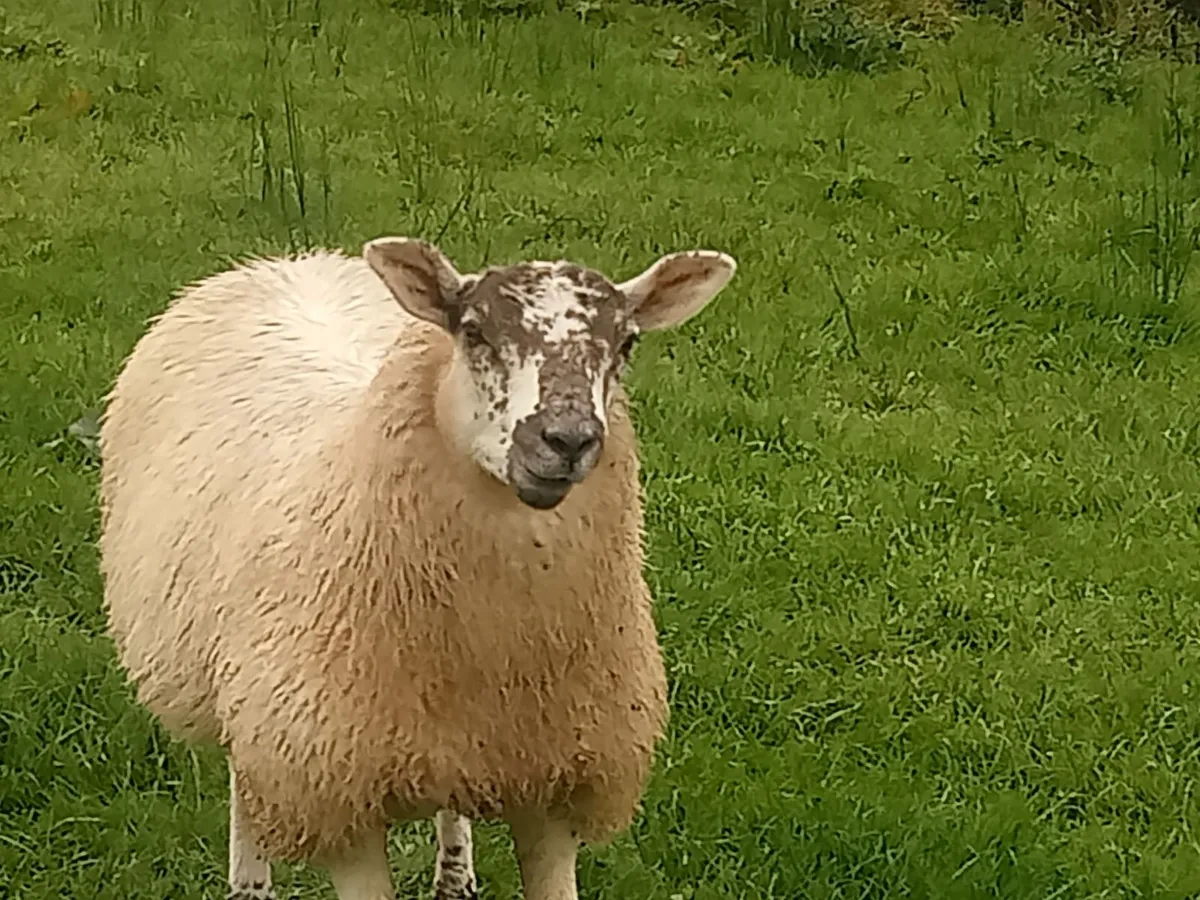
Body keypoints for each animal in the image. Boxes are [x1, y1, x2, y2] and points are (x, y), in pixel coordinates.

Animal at [97, 236, 737, 900]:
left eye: (627, 343)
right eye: (473, 331)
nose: (567, 441)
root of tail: (289, 262)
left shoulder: (561, 784)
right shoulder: (337, 794)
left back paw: (455, 875)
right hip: (254, 709)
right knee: (245, 788)